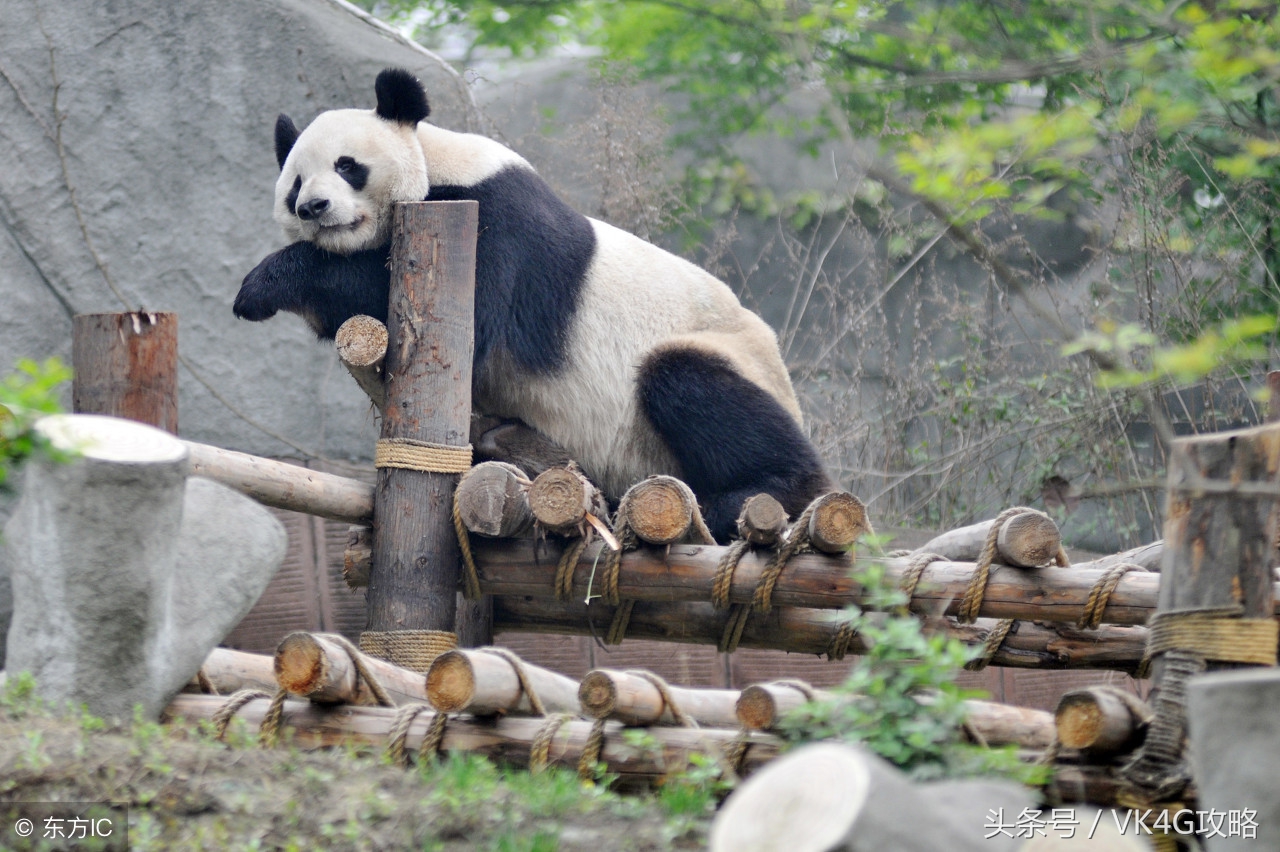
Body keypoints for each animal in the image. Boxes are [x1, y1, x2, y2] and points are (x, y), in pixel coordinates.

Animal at [235, 69, 834, 539]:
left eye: (347, 165)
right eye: (295, 184)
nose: (314, 207)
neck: (437, 165)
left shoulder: (493, 219)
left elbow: (462, 318)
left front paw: (263, 284)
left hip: (722, 358)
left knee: (693, 383)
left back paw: (757, 492)